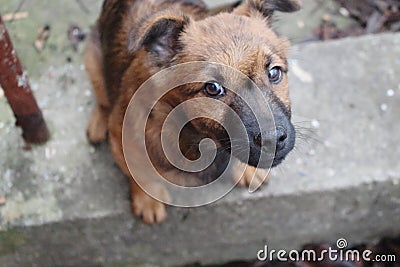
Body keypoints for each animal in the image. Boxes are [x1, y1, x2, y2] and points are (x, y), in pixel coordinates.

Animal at [86, 0, 300, 224]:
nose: (273, 139)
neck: (198, 136)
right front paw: (147, 200)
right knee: (102, 98)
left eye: (274, 73)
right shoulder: (123, 138)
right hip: (91, 61)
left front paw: (247, 170)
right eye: (213, 88)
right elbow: (139, 172)